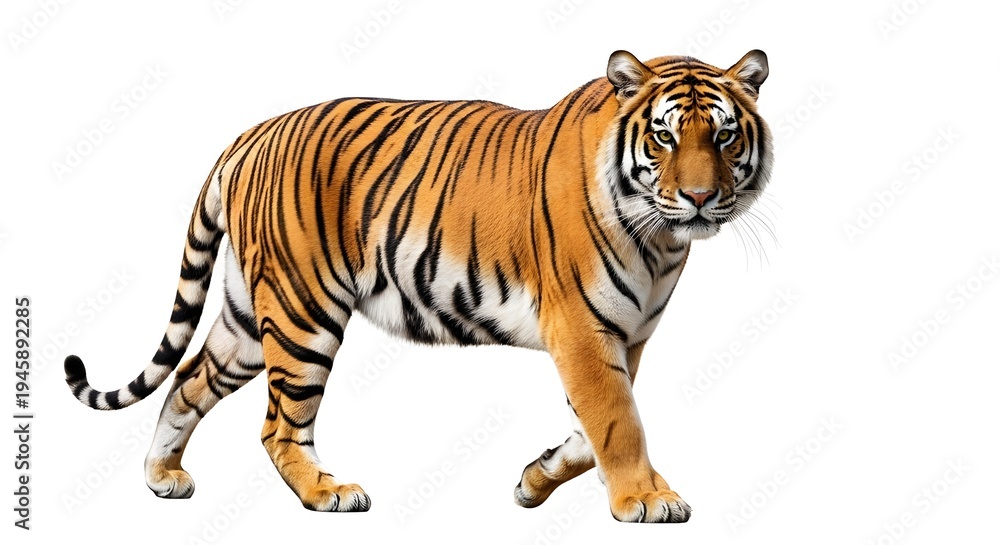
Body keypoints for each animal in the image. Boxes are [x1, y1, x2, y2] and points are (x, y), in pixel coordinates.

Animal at [64, 48, 772, 523]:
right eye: (664, 136)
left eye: (724, 135)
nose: (700, 198)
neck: (662, 241)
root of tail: (251, 134)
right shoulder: (582, 329)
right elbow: (620, 422)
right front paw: (646, 499)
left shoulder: (625, 337)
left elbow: (590, 429)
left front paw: (534, 482)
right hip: (302, 314)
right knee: (277, 426)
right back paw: (327, 492)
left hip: (246, 318)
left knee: (187, 381)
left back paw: (163, 477)